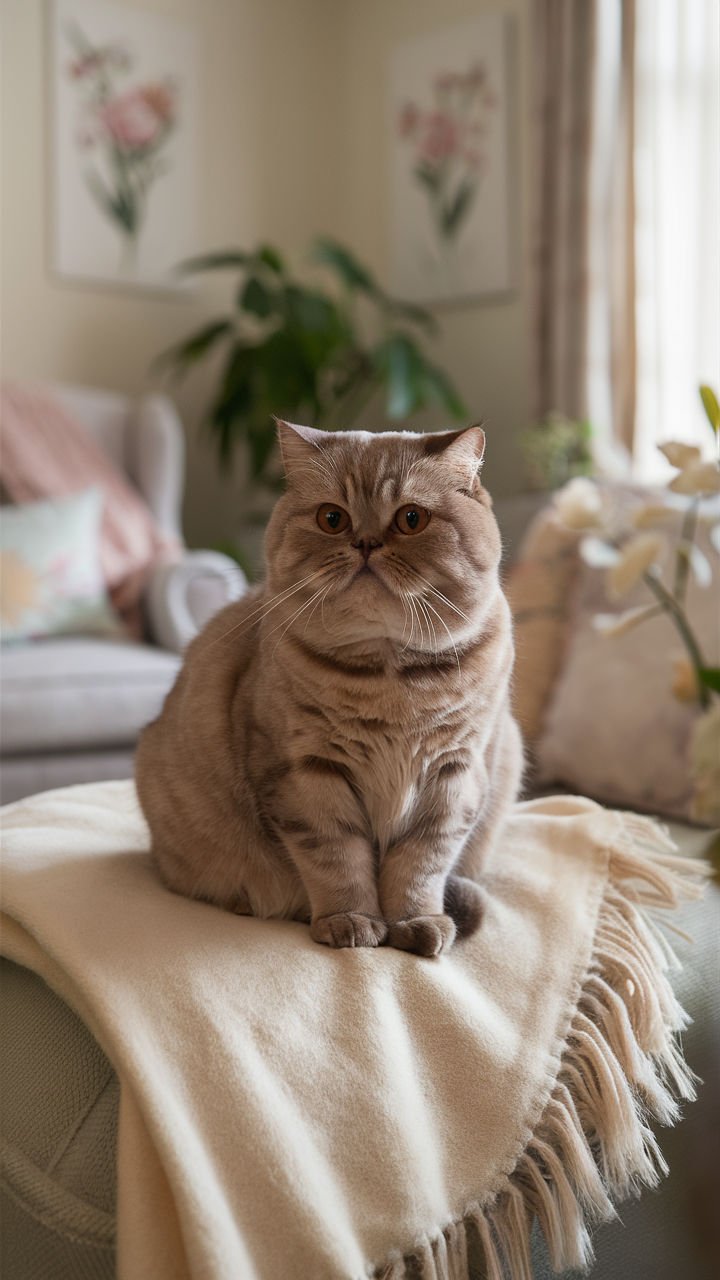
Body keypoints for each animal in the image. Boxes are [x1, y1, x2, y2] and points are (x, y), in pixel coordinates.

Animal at [131, 424, 517, 957]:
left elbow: (420, 866)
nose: (366, 542)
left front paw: (416, 924)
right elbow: (338, 861)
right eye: (332, 519)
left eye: (411, 519)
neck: (390, 679)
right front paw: (351, 923)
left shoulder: (453, 774)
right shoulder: (307, 773)